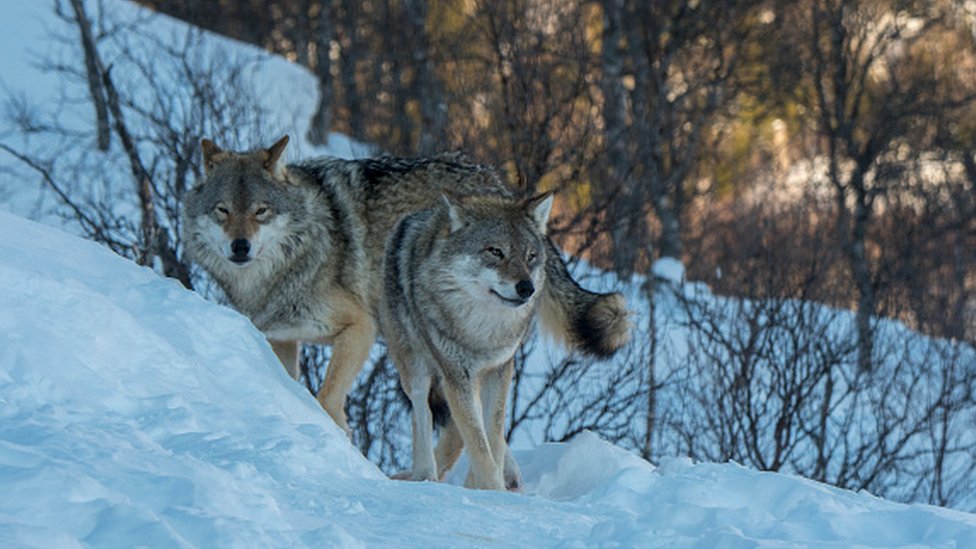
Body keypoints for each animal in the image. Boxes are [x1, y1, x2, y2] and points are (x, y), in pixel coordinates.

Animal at [179, 138, 628, 436]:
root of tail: (497, 185)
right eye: (222, 211)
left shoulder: (360, 328)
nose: (240, 246)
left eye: (261, 211)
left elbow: (326, 397)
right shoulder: (282, 339)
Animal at [378, 193, 552, 488]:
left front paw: (486, 483)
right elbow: (478, 443)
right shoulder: (455, 375)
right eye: (495, 251)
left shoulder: (500, 368)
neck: (481, 332)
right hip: (414, 366)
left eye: (531, 256)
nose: (526, 288)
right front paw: (491, 489)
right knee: (422, 412)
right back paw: (425, 474)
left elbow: (492, 435)